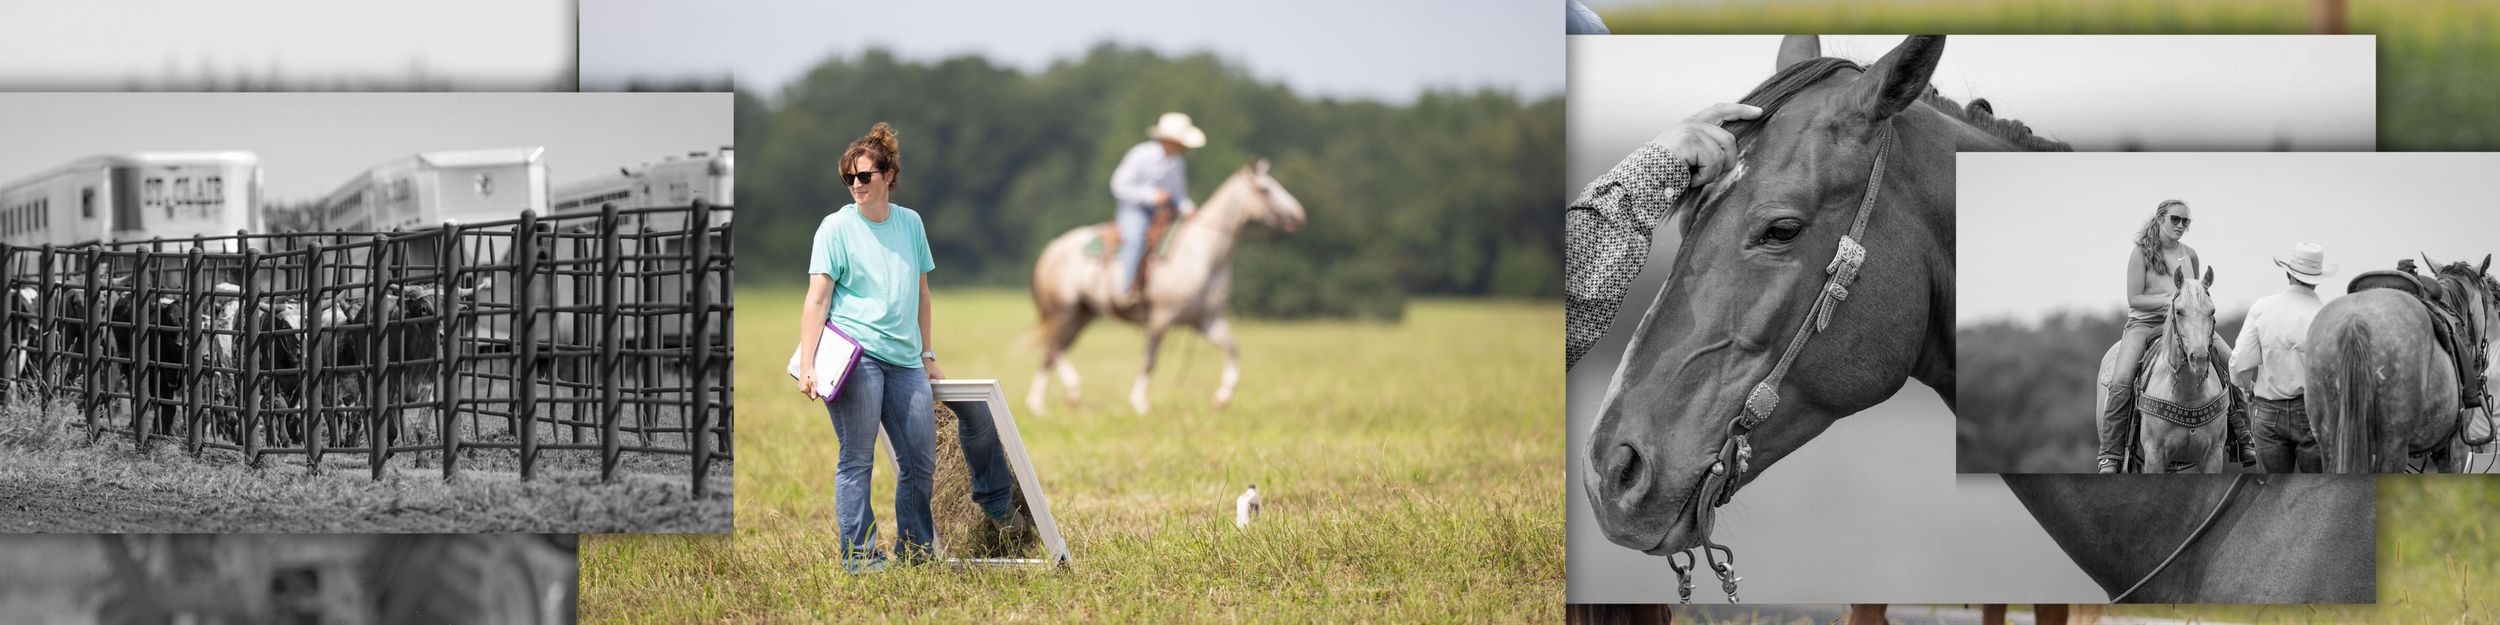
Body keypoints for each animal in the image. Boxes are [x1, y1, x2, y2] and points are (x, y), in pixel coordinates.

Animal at [1026, 159, 1305, 416]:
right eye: (1265, 189)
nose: (1299, 214)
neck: (1203, 254)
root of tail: (1053, 248)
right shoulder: (1162, 317)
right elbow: (1150, 360)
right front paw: (1139, 403)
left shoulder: (1207, 320)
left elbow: (1233, 349)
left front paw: (1222, 398)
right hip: (1065, 310)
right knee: (1053, 348)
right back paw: (1059, 394)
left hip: (1083, 314)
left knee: (1052, 351)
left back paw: (1046, 401)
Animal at [2094, 266, 2229, 473]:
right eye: (2179, 311)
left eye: (2212, 310)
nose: (2199, 358)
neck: (2188, 395)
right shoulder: (2154, 456)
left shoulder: (2213, 455)